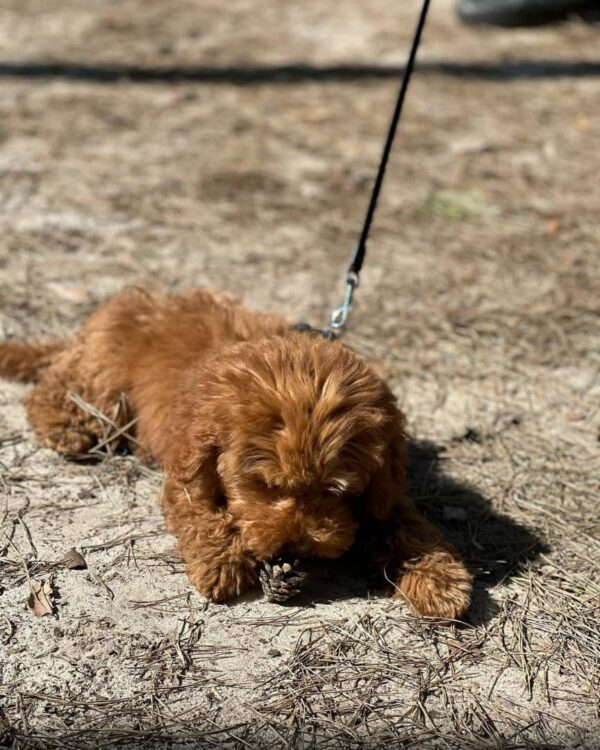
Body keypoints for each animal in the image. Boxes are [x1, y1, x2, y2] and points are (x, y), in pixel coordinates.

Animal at [0, 288, 474, 616]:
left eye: (336, 491)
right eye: (264, 485)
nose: (297, 547)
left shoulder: (384, 492)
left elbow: (405, 526)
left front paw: (440, 579)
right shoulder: (185, 471)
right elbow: (198, 510)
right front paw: (221, 561)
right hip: (104, 382)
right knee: (53, 393)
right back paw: (66, 427)